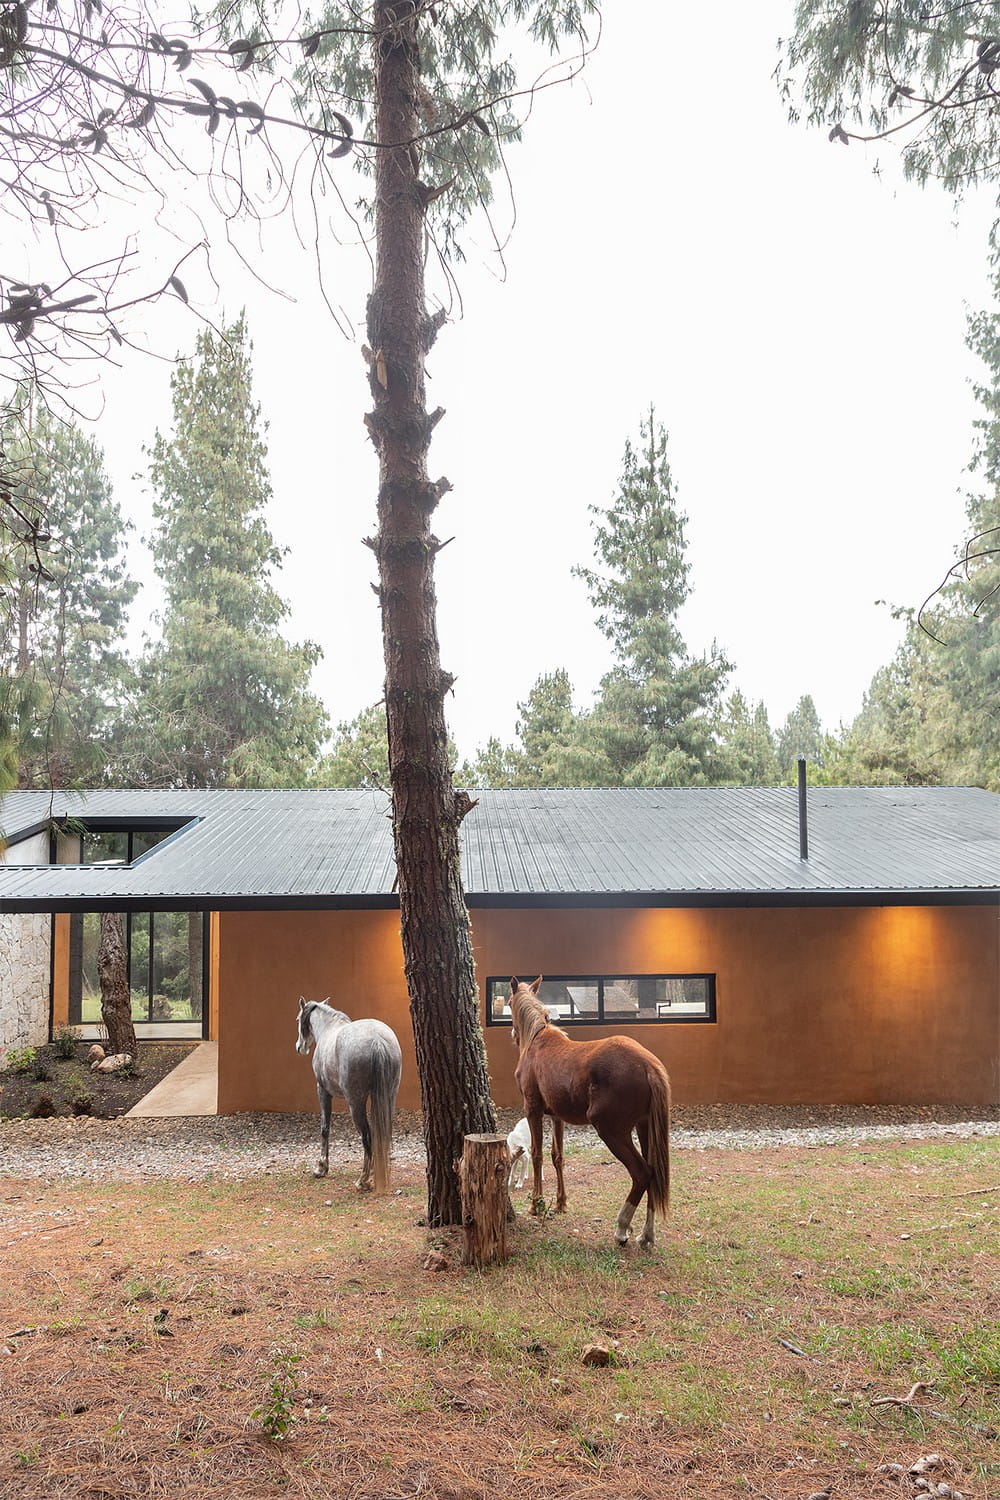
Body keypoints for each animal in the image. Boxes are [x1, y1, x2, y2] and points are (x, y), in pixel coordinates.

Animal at [512, 978, 668, 1248]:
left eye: (510, 1003)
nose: (513, 1035)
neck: (536, 1040)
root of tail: (648, 1065)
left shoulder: (533, 1110)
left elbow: (538, 1155)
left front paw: (535, 1205)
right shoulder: (556, 1117)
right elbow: (557, 1156)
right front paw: (561, 1203)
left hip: (612, 1131)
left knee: (642, 1172)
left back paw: (622, 1228)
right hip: (644, 1127)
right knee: (653, 1172)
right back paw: (646, 1235)